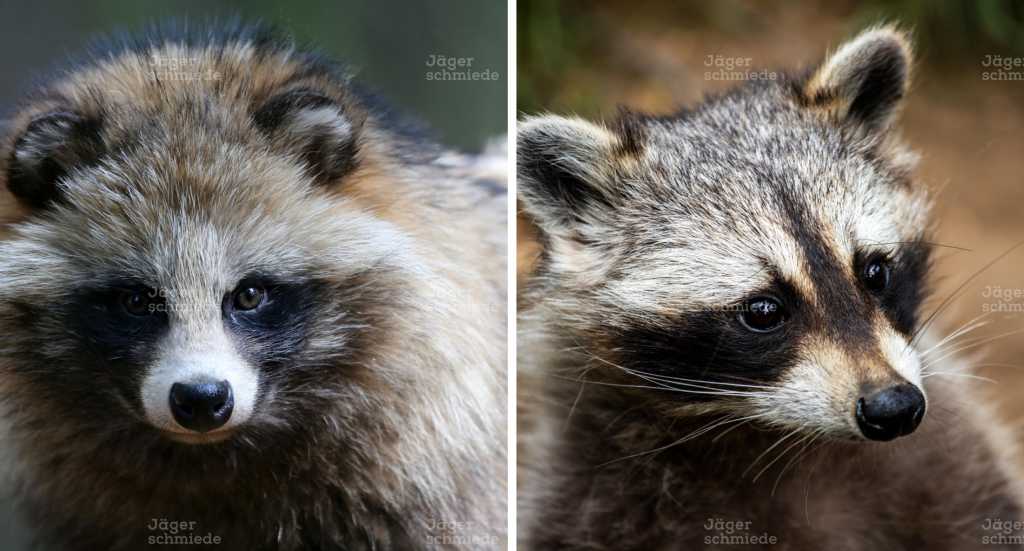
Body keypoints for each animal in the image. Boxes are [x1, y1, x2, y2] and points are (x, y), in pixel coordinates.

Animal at [520, 26, 1024, 548]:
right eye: (763, 311)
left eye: (874, 272)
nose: (894, 407)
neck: (774, 436)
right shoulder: (592, 487)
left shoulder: (951, 456)